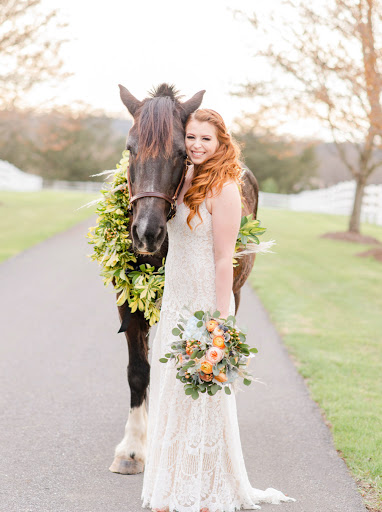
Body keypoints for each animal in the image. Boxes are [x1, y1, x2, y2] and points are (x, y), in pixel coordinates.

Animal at [109, 84, 262, 476]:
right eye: (130, 148)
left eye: (182, 153)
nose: (146, 234)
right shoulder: (128, 305)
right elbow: (138, 371)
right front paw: (133, 449)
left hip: (235, 293)